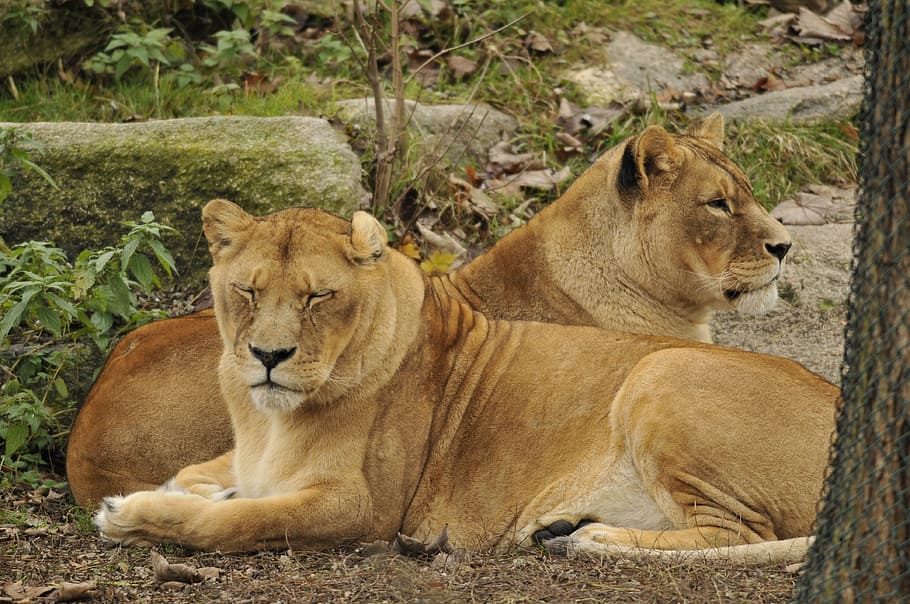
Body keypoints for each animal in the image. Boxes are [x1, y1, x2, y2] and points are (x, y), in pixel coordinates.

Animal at [94, 201, 833, 564]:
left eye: (318, 296)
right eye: (247, 290)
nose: (268, 355)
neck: (266, 416)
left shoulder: (363, 508)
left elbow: (240, 521)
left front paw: (131, 514)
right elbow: (201, 473)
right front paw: (188, 486)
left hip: (661, 370)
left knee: (742, 536)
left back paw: (590, 539)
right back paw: (566, 527)